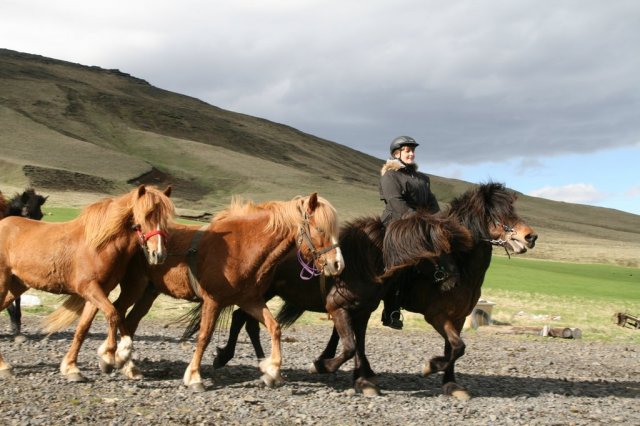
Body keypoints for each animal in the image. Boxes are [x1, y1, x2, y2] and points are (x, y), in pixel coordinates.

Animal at [45, 195, 344, 392]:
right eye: (320, 229)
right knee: (116, 312)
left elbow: (274, 328)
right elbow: (204, 336)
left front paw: (271, 372)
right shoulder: (213, 301)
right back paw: (111, 358)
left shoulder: (250, 300)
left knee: (127, 319)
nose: (338, 265)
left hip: (149, 292)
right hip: (135, 286)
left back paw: (127, 365)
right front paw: (194, 376)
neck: (243, 247)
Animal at [202, 181, 536, 398]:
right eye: (498, 216)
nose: (530, 237)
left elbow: (453, 349)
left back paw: (256, 361)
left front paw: (450, 383)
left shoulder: (451, 316)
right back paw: (241, 360)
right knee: (242, 320)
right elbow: (452, 347)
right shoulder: (435, 315)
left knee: (244, 320)